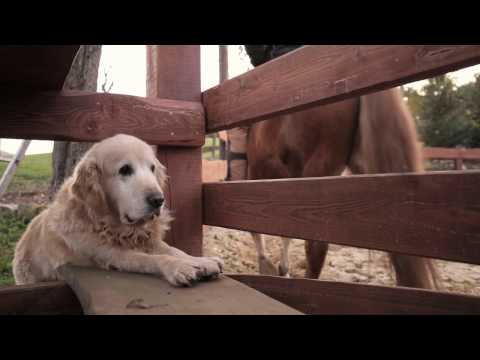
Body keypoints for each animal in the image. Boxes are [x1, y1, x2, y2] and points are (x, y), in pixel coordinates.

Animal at [13, 134, 223, 286]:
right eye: (125, 170)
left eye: (152, 168)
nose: (158, 200)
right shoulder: (111, 254)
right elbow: (151, 259)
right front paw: (179, 267)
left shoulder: (149, 240)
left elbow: (174, 249)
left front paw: (202, 261)